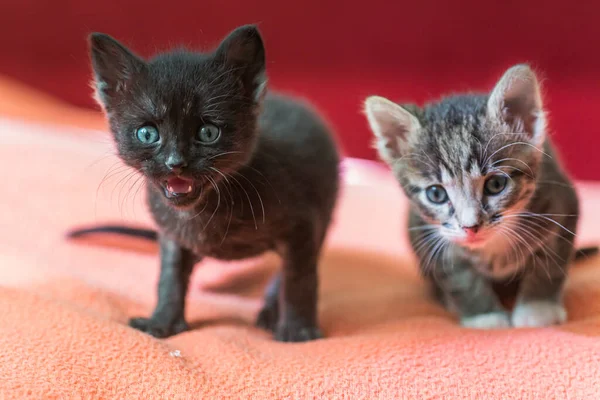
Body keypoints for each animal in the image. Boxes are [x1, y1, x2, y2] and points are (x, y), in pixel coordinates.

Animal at [70, 26, 340, 342]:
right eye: (147, 134)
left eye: (208, 132)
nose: (176, 162)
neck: (205, 211)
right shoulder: (172, 235)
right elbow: (170, 277)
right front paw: (162, 322)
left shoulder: (303, 225)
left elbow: (298, 278)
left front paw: (298, 330)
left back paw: (271, 310)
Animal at [364, 65, 592, 328]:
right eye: (436, 193)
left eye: (496, 184)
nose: (469, 227)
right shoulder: (436, 240)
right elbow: (461, 280)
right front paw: (486, 316)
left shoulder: (562, 205)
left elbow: (550, 263)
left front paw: (538, 308)